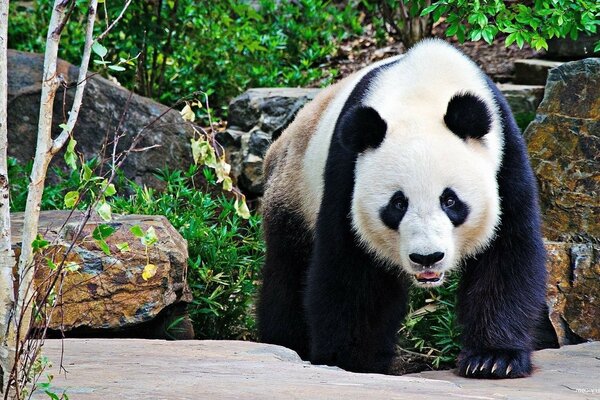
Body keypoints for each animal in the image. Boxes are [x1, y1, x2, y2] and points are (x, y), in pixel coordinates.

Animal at [255, 39, 548, 380]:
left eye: (450, 201)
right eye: (398, 203)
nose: (427, 258)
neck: (424, 87)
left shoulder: (506, 161)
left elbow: (507, 253)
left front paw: (492, 359)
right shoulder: (346, 172)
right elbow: (354, 271)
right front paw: (352, 361)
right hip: (294, 188)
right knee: (287, 270)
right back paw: (284, 341)